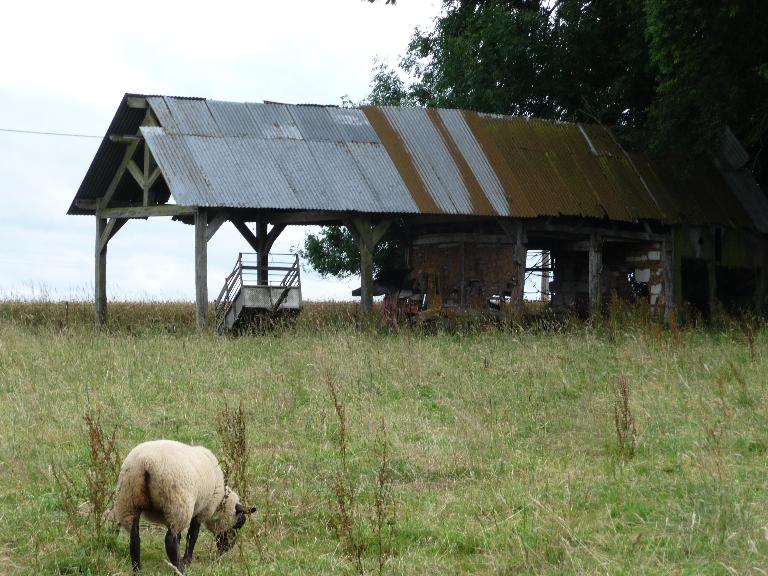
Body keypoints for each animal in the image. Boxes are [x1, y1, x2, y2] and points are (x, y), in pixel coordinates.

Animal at [112, 440, 255, 572]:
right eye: (238, 524)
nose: (227, 549)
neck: (220, 501)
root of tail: (146, 462)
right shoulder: (202, 510)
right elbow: (192, 535)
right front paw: (187, 560)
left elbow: (180, 537)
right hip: (177, 504)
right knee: (169, 540)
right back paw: (179, 568)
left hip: (129, 501)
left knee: (134, 537)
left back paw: (137, 568)